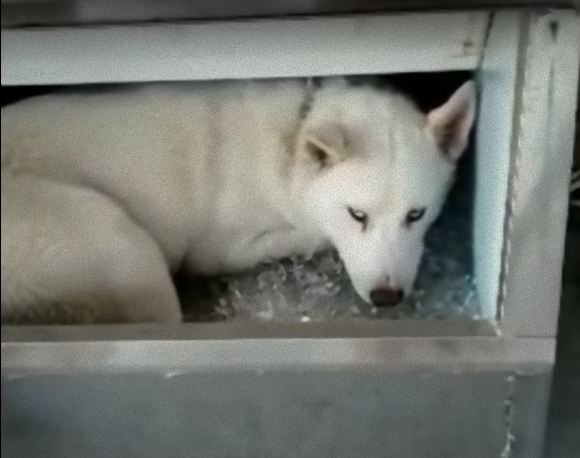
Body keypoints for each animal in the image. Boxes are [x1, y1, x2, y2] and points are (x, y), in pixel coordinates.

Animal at [0, 78, 476, 322]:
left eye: (416, 214)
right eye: (356, 215)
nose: (387, 297)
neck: (290, 145)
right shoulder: (218, 250)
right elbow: (309, 233)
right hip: (121, 247)